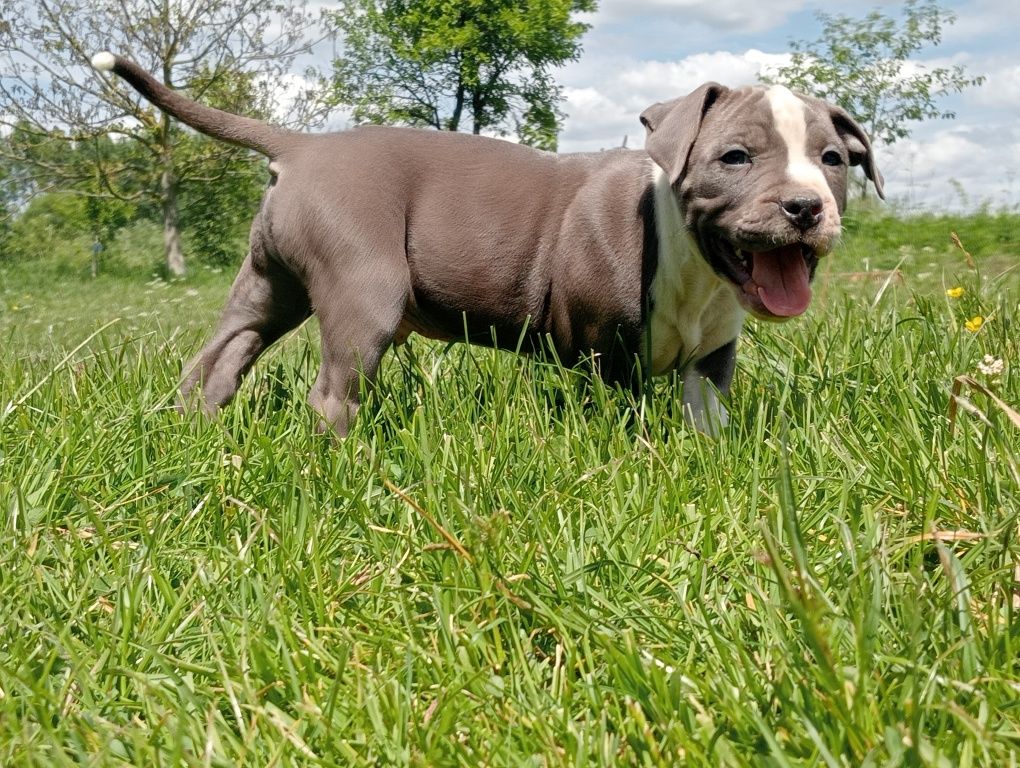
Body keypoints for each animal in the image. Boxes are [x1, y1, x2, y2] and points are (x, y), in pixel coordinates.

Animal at [89, 52, 885, 436]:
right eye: (735, 158)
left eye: (832, 160)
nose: (806, 207)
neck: (693, 263)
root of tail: (305, 146)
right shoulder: (604, 347)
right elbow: (620, 411)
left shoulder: (712, 357)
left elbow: (706, 414)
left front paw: (711, 462)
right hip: (362, 286)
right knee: (332, 391)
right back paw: (348, 464)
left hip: (267, 283)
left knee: (219, 358)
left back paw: (194, 432)